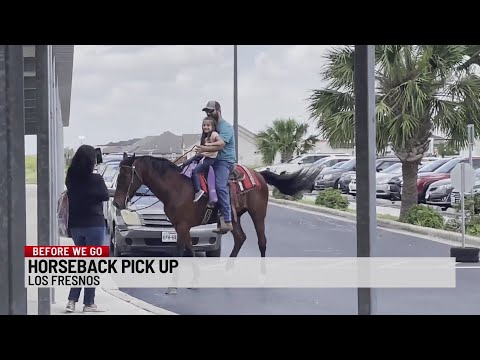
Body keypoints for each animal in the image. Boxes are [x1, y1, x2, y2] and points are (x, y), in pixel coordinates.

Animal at [113, 154, 322, 258]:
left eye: (125, 175)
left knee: (261, 242)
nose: (116, 202)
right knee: (240, 238)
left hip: (258, 213)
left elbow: (182, 252)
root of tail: (259, 174)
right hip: (234, 217)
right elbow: (189, 251)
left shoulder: (182, 226)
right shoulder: (181, 227)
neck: (176, 188)